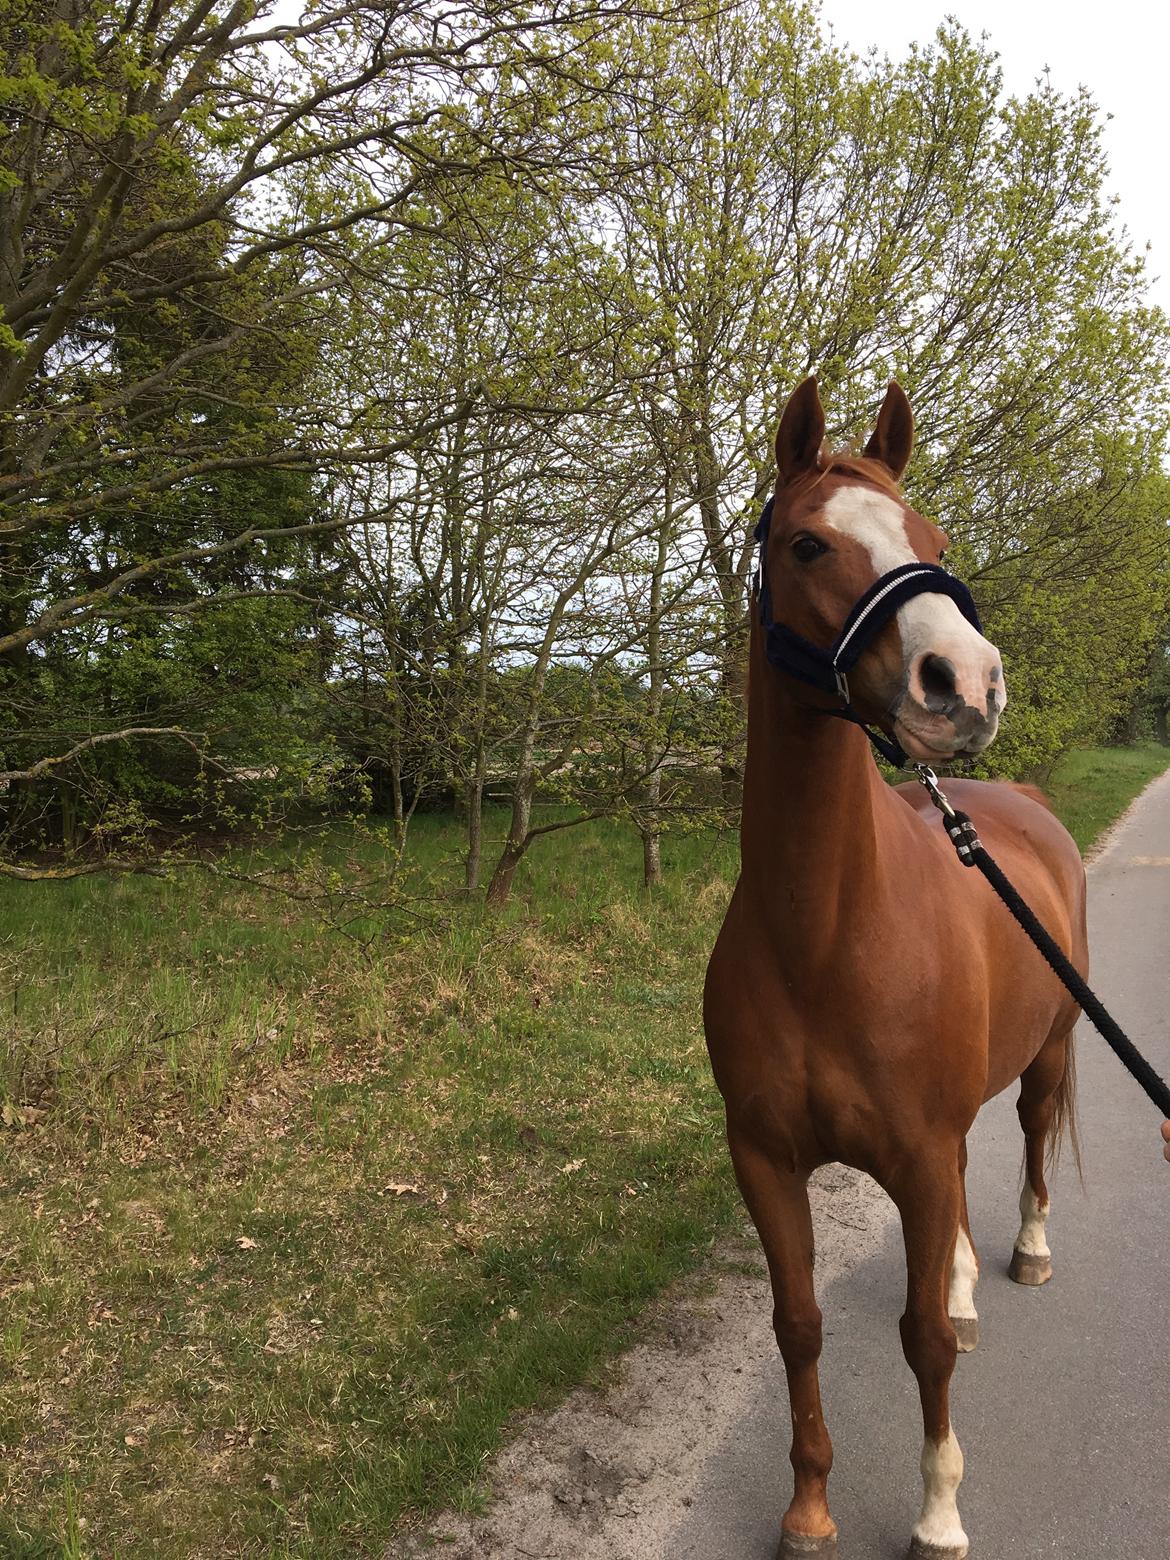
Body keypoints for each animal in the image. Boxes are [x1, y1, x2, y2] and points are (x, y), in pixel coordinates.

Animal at [705, 380, 1092, 1560]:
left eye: (934, 542)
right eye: (807, 542)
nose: (965, 684)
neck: (826, 938)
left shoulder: (916, 1153)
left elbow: (920, 1343)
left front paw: (938, 1512)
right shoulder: (767, 1160)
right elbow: (798, 1326)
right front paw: (808, 1509)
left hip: (1049, 1057)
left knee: (1027, 1148)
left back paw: (1023, 1256)